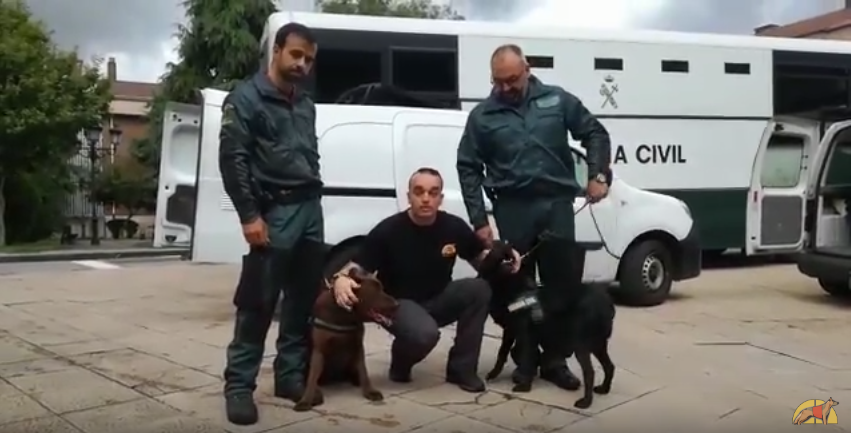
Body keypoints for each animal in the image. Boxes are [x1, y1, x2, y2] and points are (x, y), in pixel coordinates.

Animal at [292, 266, 400, 412]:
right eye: (375, 291)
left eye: (382, 288)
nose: (397, 304)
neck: (344, 315)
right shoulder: (319, 350)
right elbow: (312, 377)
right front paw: (306, 400)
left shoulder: (357, 345)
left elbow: (363, 370)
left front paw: (370, 391)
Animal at [482, 240, 616, 408]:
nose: (495, 241)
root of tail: (606, 303)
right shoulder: (510, 332)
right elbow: (502, 353)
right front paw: (494, 374)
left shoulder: (526, 336)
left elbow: (527, 359)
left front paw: (524, 386)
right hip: (598, 343)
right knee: (609, 366)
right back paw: (604, 389)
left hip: (581, 344)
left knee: (590, 372)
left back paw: (586, 401)